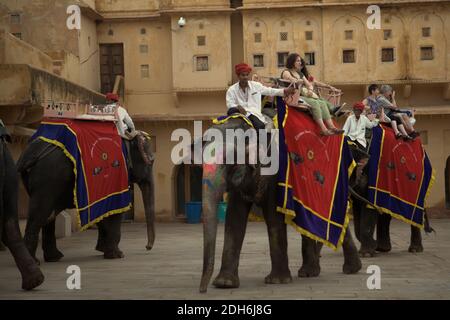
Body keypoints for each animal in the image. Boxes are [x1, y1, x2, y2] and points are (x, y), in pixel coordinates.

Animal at [16, 131, 155, 264]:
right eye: (152, 161)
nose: (147, 247)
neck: (127, 137)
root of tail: (27, 156)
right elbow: (114, 211)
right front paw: (117, 255)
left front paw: (103, 250)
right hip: (48, 179)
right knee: (40, 214)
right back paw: (34, 261)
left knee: (48, 216)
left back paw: (54, 258)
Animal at [199, 112, 360, 292]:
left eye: (230, 162)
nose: (202, 290)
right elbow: (234, 219)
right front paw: (225, 284)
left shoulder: (276, 172)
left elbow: (273, 217)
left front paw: (277, 281)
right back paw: (312, 272)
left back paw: (347, 270)